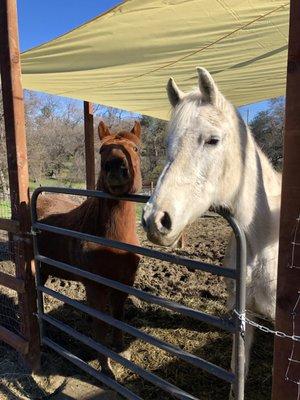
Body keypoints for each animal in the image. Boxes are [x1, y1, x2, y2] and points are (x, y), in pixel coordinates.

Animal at [37, 120, 142, 370]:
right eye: (102, 150)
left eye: (135, 149)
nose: (115, 166)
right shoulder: (95, 288)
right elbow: (100, 327)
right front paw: (106, 368)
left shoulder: (124, 283)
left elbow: (118, 317)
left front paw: (120, 349)